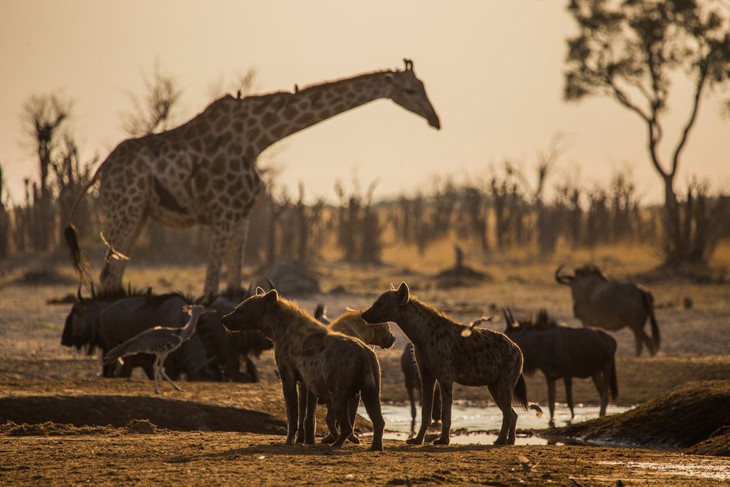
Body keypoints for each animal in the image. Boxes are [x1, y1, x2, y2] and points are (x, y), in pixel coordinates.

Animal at [67, 61, 438, 298]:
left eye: (423, 86)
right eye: (410, 89)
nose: (436, 120)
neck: (256, 139)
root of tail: (101, 170)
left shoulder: (241, 217)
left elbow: (233, 286)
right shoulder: (221, 217)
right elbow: (209, 290)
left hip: (140, 215)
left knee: (114, 276)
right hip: (124, 212)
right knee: (108, 274)